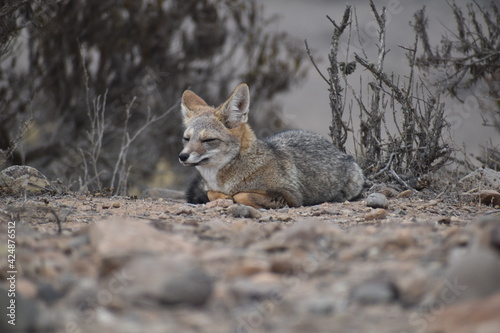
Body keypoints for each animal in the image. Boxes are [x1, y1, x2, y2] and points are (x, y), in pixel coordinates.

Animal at [180, 83, 364, 208]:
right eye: (186, 139)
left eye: (208, 140)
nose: (182, 156)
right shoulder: (210, 187)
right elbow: (211, 192)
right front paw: (222, 197)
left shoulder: (290, 196)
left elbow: (242, 195)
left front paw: (232, 197)